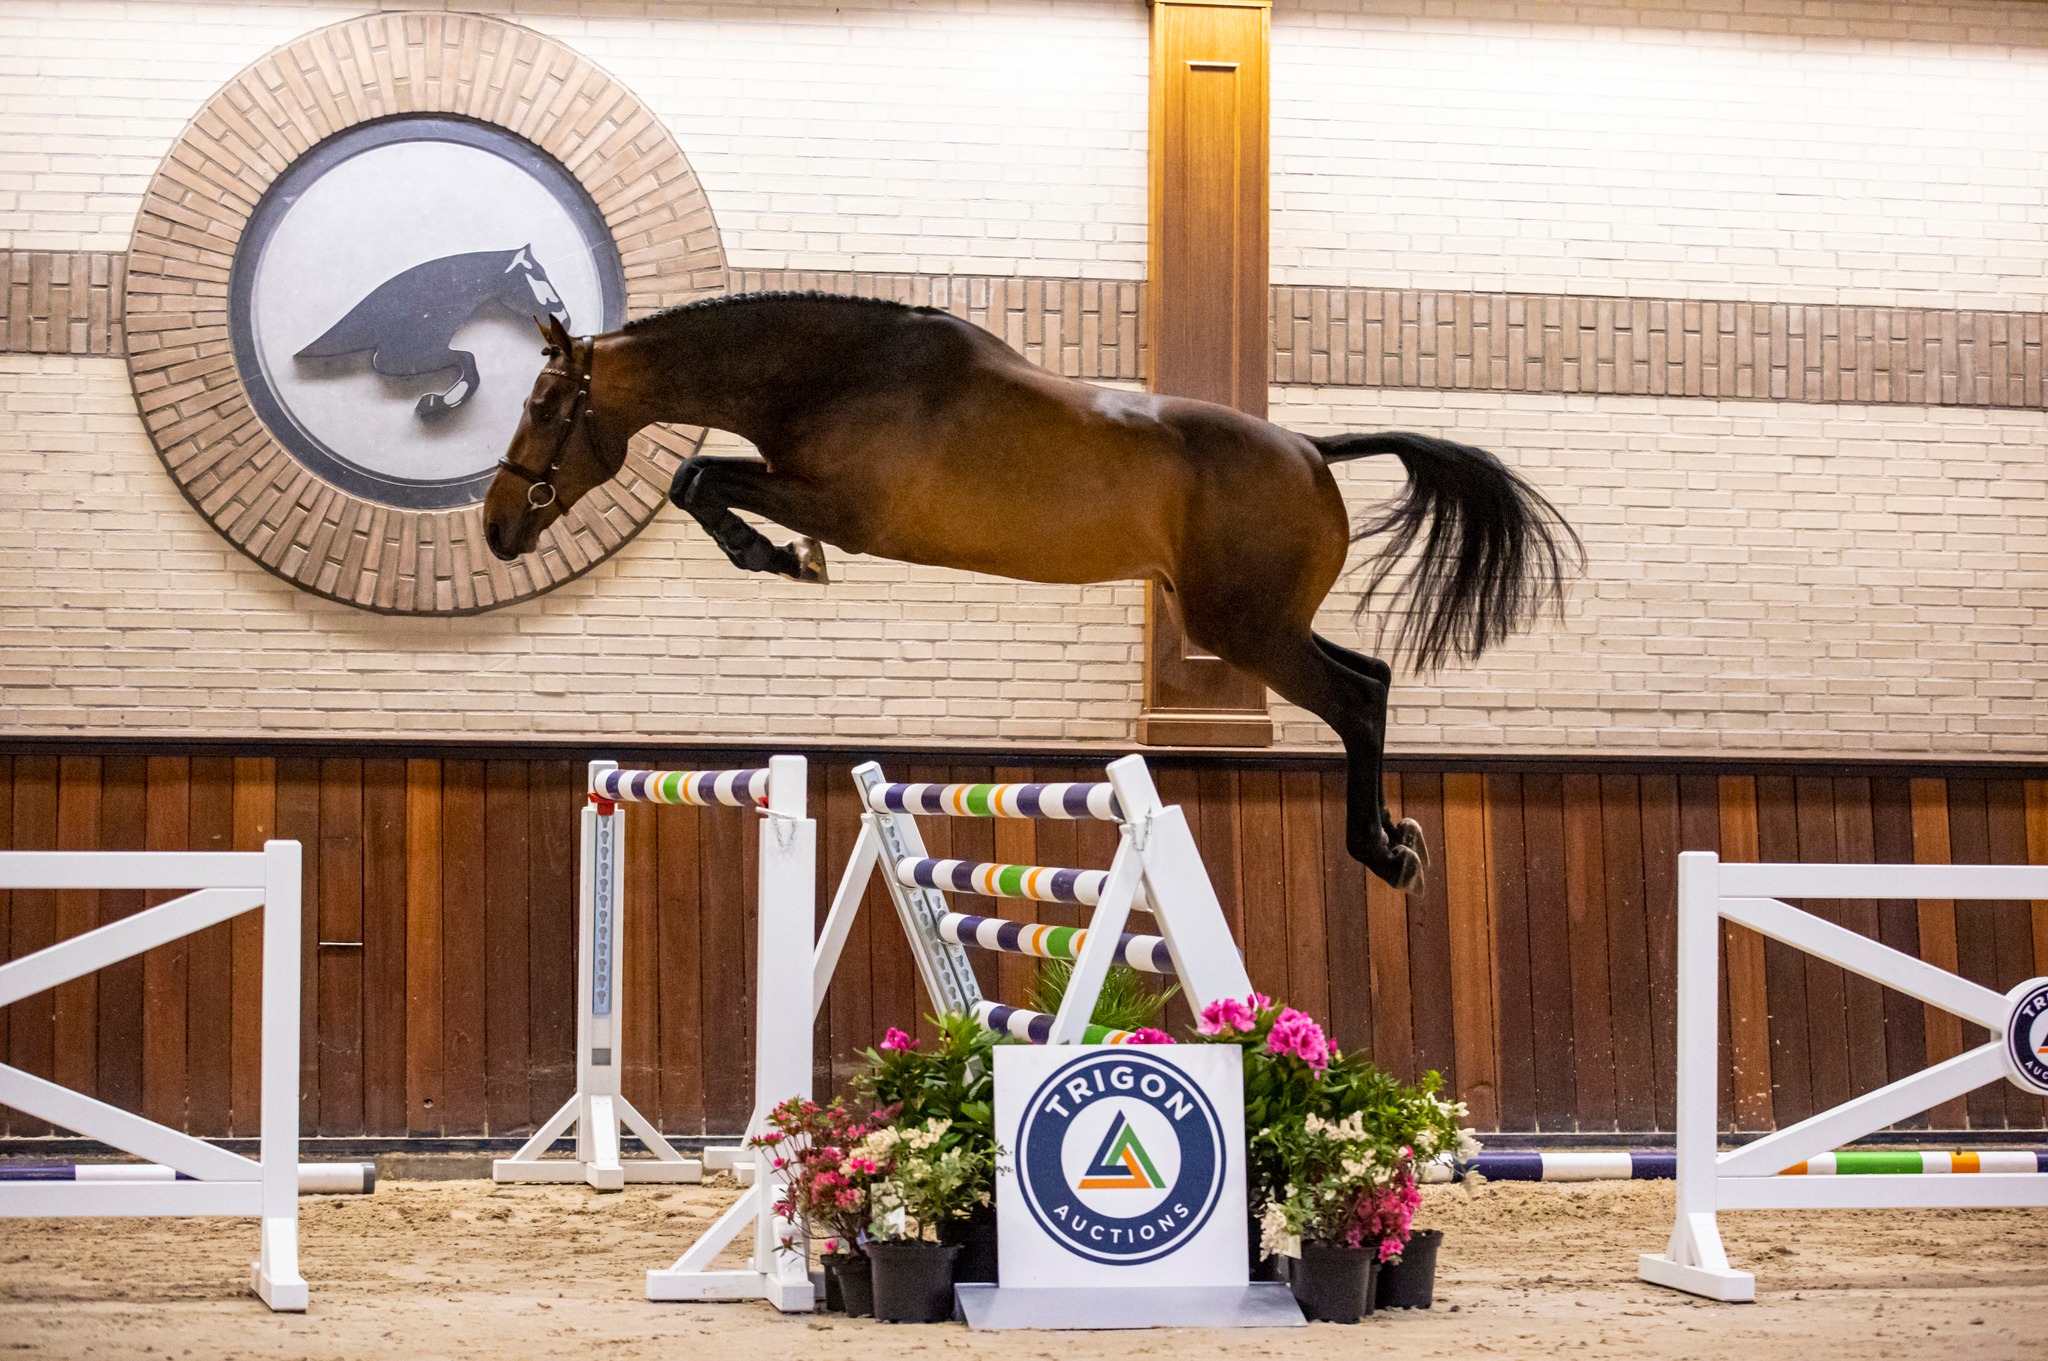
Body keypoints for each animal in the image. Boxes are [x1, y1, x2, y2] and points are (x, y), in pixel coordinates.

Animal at [297, 245, 569, 418]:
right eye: (537, 275)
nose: (564, 319)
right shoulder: (396, 359)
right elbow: (468, 358)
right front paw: (437, 402)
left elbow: (467, 359)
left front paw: (435, 402)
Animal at [484, 296, 1578, 892]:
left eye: (543, 404)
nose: (497, 528)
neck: (837, 371)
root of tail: (1310, 448)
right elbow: (696, 477)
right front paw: (783, 557)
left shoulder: (843, 505)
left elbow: (696, 477)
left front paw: (786, 558)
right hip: (1258, 625)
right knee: (1373, 678)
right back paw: (1394, 840)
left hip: (1245, 629)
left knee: (1354, 696)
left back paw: (1381, 852)